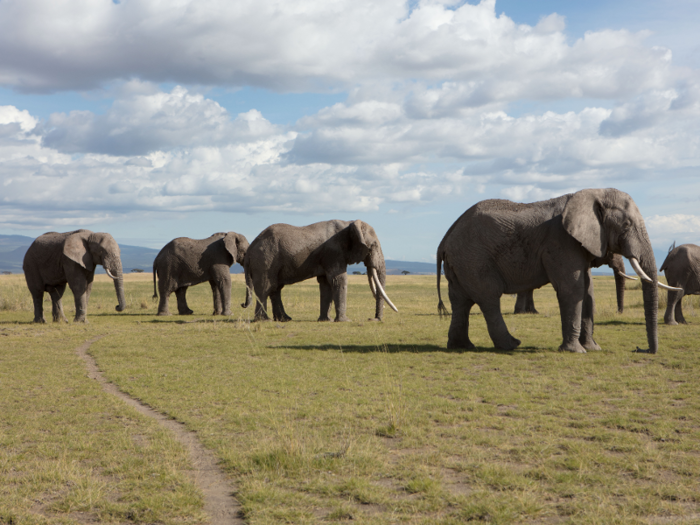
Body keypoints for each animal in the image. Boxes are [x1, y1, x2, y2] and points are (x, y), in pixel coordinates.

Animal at [245, 219, 400, 322]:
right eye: (372, 246)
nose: (373, 319)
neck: (348, 224)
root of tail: (250, 247)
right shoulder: (333, 252)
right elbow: (339, 279)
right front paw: (344, 321)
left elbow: (326, 283)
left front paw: (326, 320)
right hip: (265, 259)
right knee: (265, 287)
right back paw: (264, 320)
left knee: (275, 288)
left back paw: (285, 319)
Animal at [434, 186, 680, 354]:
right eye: (627, 225)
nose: (641, 349)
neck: (591, 194)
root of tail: (445, 238)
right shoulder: (561, 241)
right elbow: (572, 289)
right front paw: (576, 351)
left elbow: (588, 291)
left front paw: (593, 348)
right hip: (474, 259)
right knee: (489, 298)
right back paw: (511, 345)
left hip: (461, 263)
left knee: (461, 301)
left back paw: (461, 346)